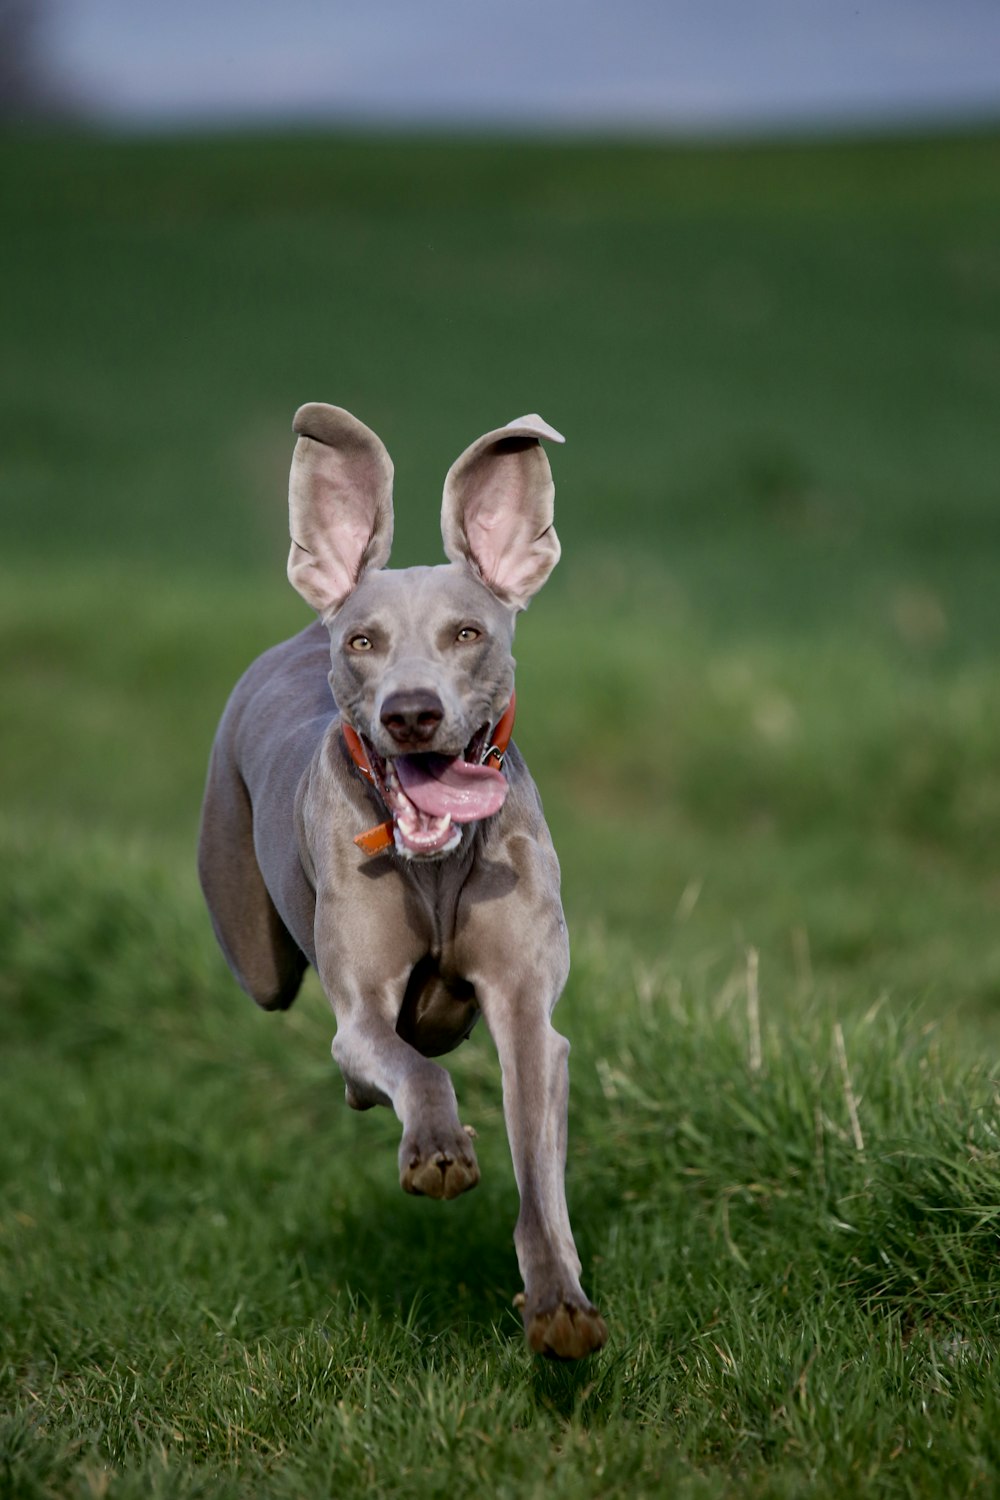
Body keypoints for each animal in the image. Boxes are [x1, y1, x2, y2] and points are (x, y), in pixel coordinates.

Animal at [197, 402, 605, 1362]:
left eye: (469, 634)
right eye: (364, 642)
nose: (410, 713)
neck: (438, 868)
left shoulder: (529, 1014)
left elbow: (540, 1171)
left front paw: (558, 1300)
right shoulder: (359, 1015)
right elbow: (402, 1063)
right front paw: (439, 1151)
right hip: (255, 950)